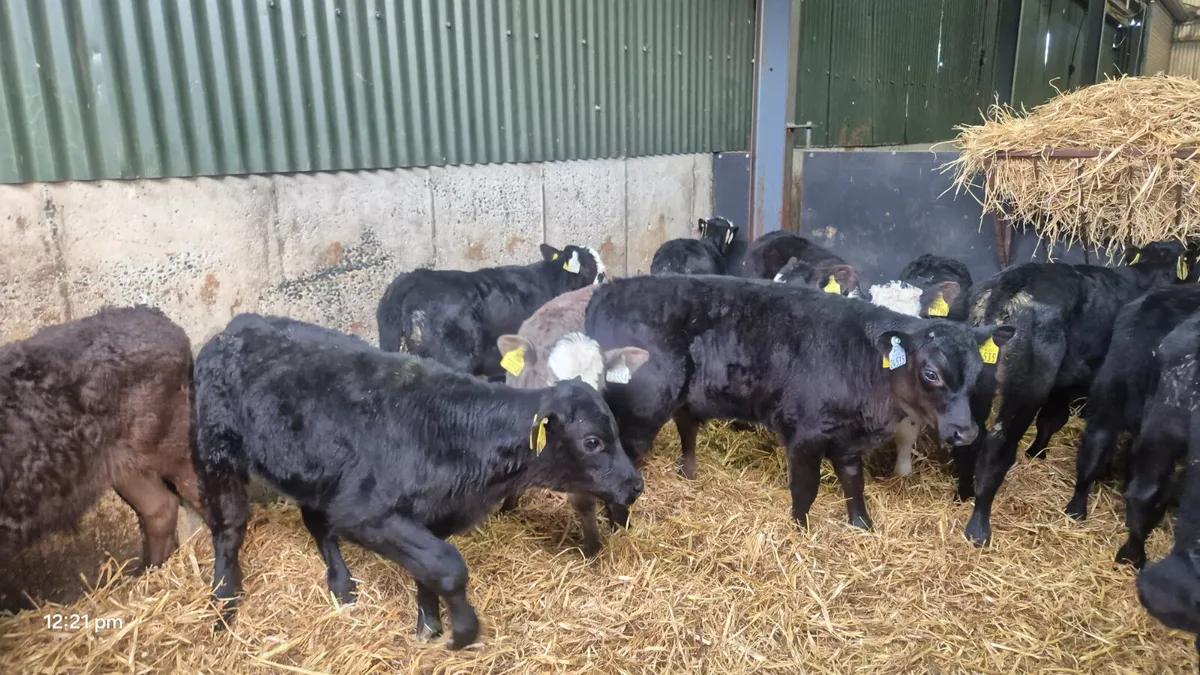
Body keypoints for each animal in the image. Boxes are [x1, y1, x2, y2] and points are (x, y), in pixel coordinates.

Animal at [192, 314, 643, 650]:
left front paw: (428, 625)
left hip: (312, 468)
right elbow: (447, 565)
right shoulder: (365, 513)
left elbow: (427, 571)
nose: (636, 485)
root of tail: (237, 325)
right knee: (229, 529)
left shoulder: (429, 515)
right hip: (216, 451)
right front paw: (461, 632)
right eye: (592, 441)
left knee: (315, 522)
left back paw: (341, 585)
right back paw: (222, 603)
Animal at [584, 275, 1013, 532]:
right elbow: (805, 489)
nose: (966, 432)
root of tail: (608, 290)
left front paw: (862, 525)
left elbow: (853, 483)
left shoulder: (848, 439)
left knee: (685, 424)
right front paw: (800, 531)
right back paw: (619, 524)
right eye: (931, 373)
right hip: (641, 409)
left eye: (978, 370)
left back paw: (688, 475)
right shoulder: (805, 434)